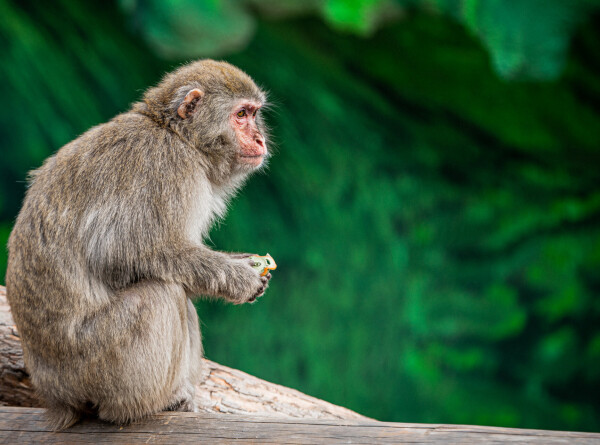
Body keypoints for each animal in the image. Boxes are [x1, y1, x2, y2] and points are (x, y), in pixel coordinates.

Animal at [4, 60, 272, 428]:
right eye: (241, 114)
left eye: (255, 114)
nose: (260, 138)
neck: (175, 135)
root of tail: (56, 397)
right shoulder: (166, 169)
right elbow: (125, 252)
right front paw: (239, 279)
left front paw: (245, 262)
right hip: (99, 364)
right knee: (162, 293)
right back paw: (147, 405)